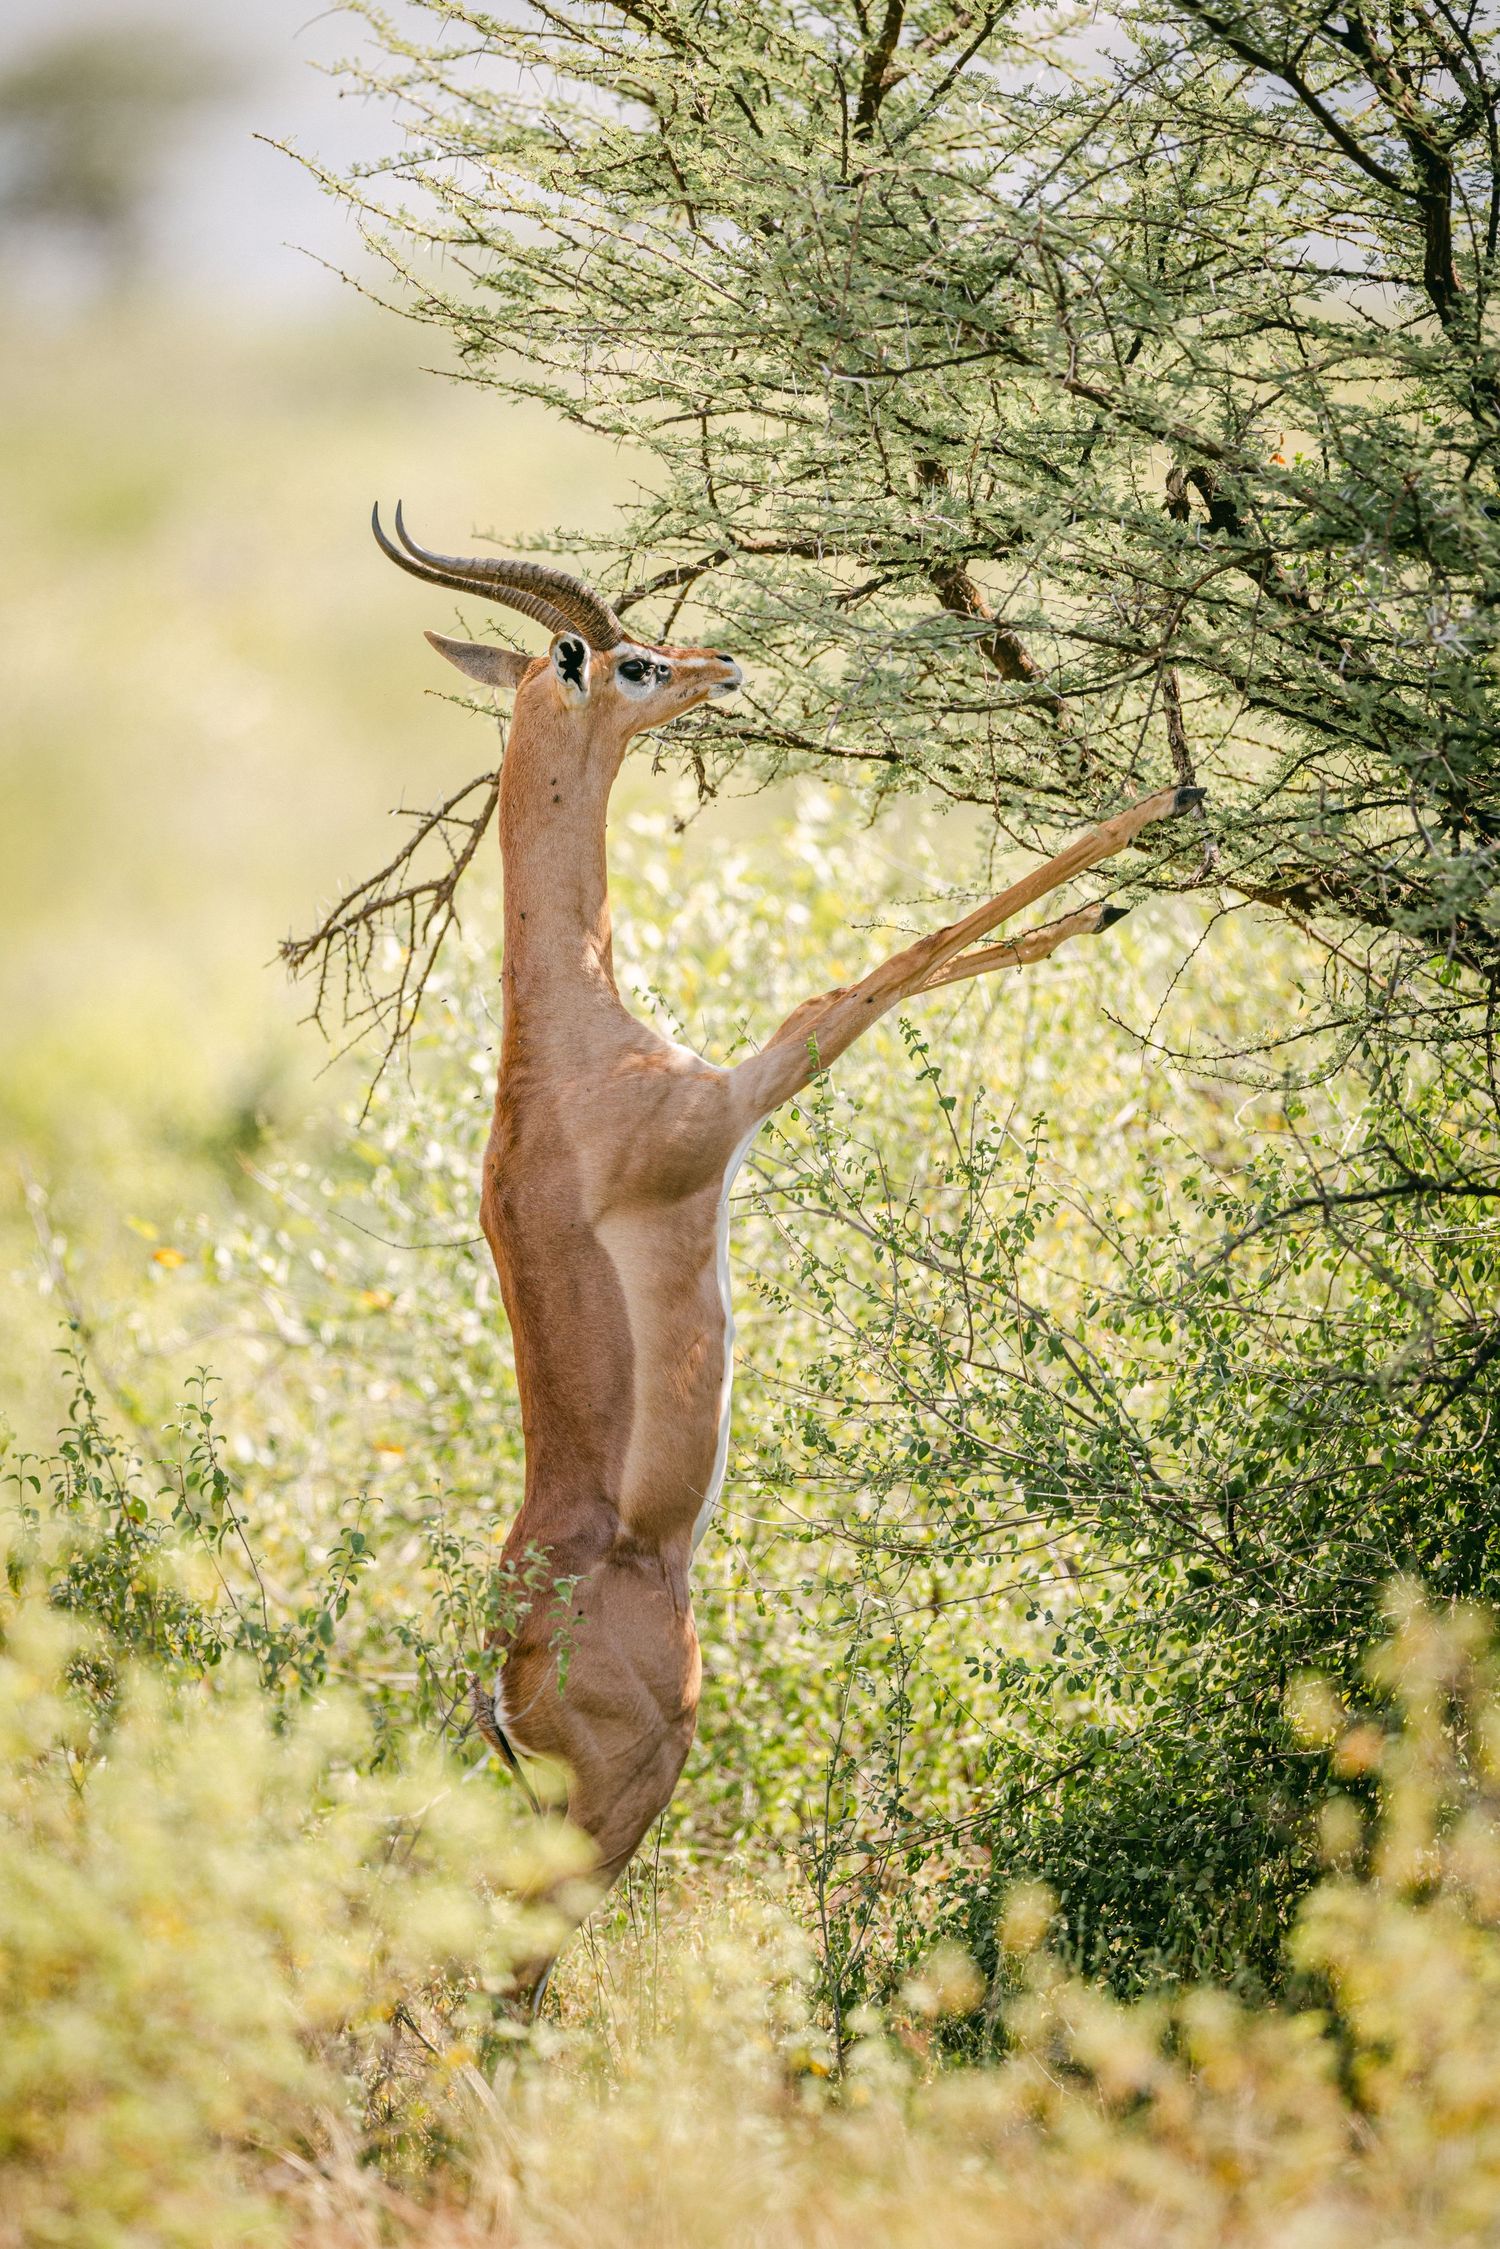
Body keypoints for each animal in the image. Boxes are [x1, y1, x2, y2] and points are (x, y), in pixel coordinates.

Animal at [370, 504, 1201, 1990]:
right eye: (629, 660)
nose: (723, 662)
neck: (570, 1042)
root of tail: (502, 1662)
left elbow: (914, 964)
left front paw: (1102, 908)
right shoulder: (741, 1098)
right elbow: (888, 966)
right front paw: (1166, 802)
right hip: (622, 1796)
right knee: (512, 1974)